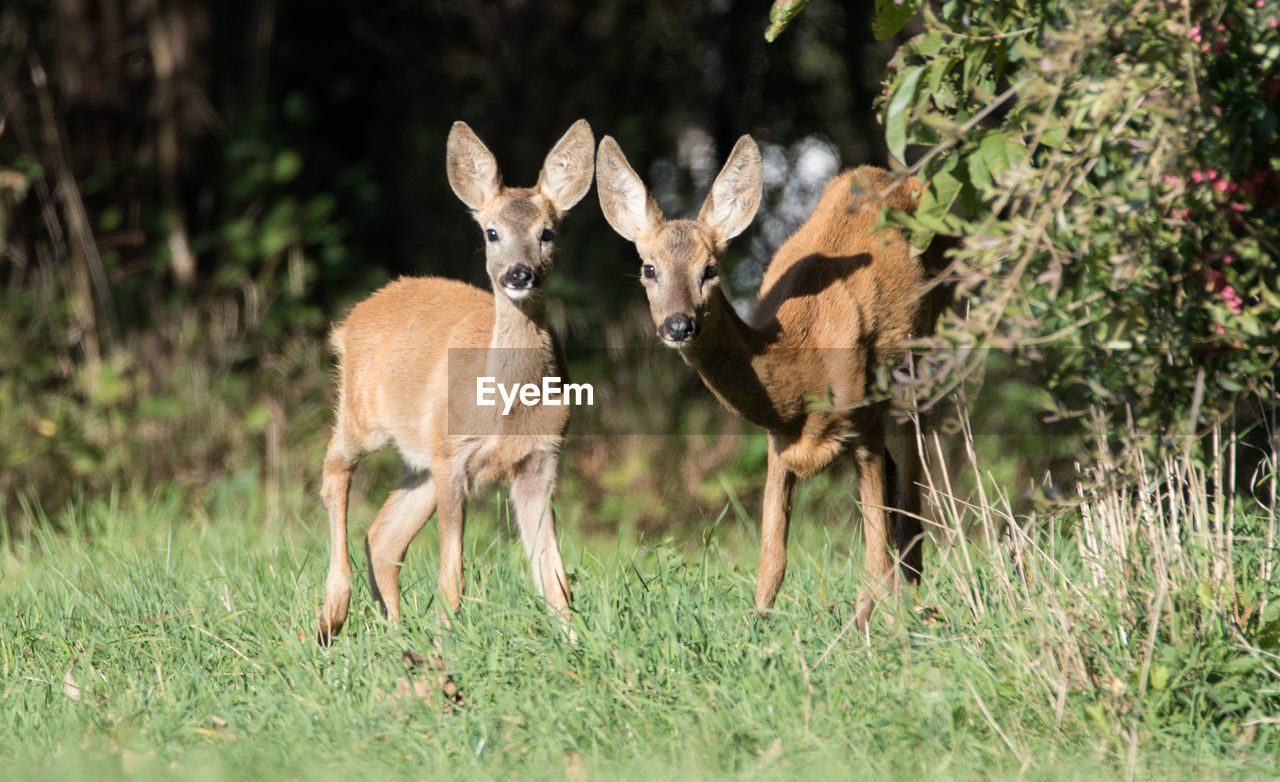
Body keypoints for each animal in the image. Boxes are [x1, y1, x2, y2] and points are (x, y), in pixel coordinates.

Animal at [320, 119, 599, 645]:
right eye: (491, 232)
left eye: (547, 233)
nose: (519, 274)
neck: (508, 403)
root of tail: (350, 319)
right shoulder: (456, 458)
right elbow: (454, 573)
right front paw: (444, 642)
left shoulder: (539, 461)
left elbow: (553, 576)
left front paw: (578, 646)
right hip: (365, 418)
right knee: (334, 472)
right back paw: (333, 612)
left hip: (422, 457)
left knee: (383, 536)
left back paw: (395, 633)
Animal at [593, 134, 947, 629]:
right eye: (649, 268)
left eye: (710, 269)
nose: (678, 325)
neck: (803, 369)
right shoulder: (777, 439)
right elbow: (771, 557)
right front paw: (759, 624)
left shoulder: (866, 424)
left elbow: (875, 551)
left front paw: (874, 629)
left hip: (920, 369)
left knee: (910, 508)